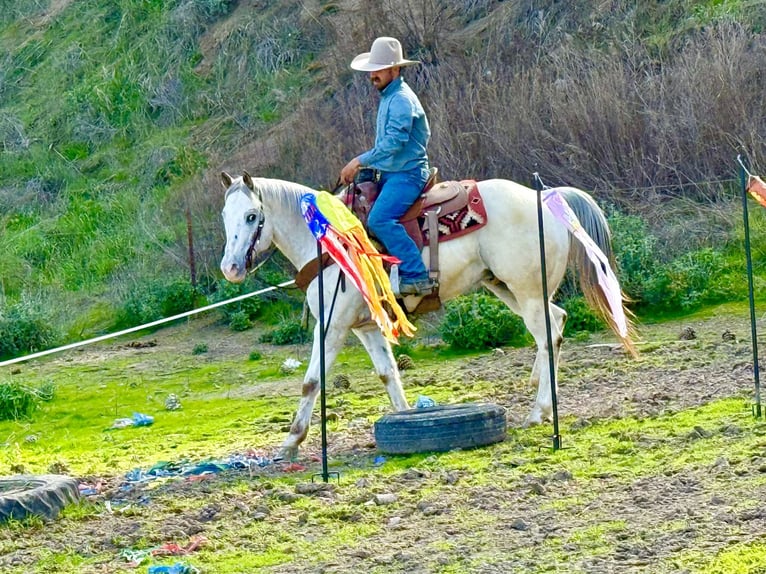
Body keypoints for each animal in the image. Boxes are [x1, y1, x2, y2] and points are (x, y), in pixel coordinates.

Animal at [219, 172, 636, 460]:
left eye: (252, 216)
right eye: (226, 215)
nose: (231, 268)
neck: (327, 242)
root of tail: (544, 197)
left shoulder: (333, 325)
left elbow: (311, 381)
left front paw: (290, 442)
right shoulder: (366, 327)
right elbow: (389, 374)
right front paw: (403, 422)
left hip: (526, 289)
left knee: (548, 334)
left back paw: (537, 413)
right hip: (508, 287)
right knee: (557, 323)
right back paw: (542, 397)